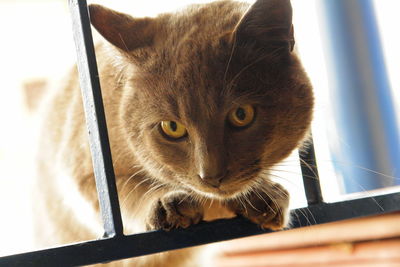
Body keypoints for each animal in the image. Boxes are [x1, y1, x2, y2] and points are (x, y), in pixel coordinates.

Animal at [32, 0, 314, 266]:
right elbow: (127, 195)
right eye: (172, 127)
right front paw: (167, 205)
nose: (211, 176)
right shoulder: (84, 174)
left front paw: (265, 196)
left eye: (241, 114)